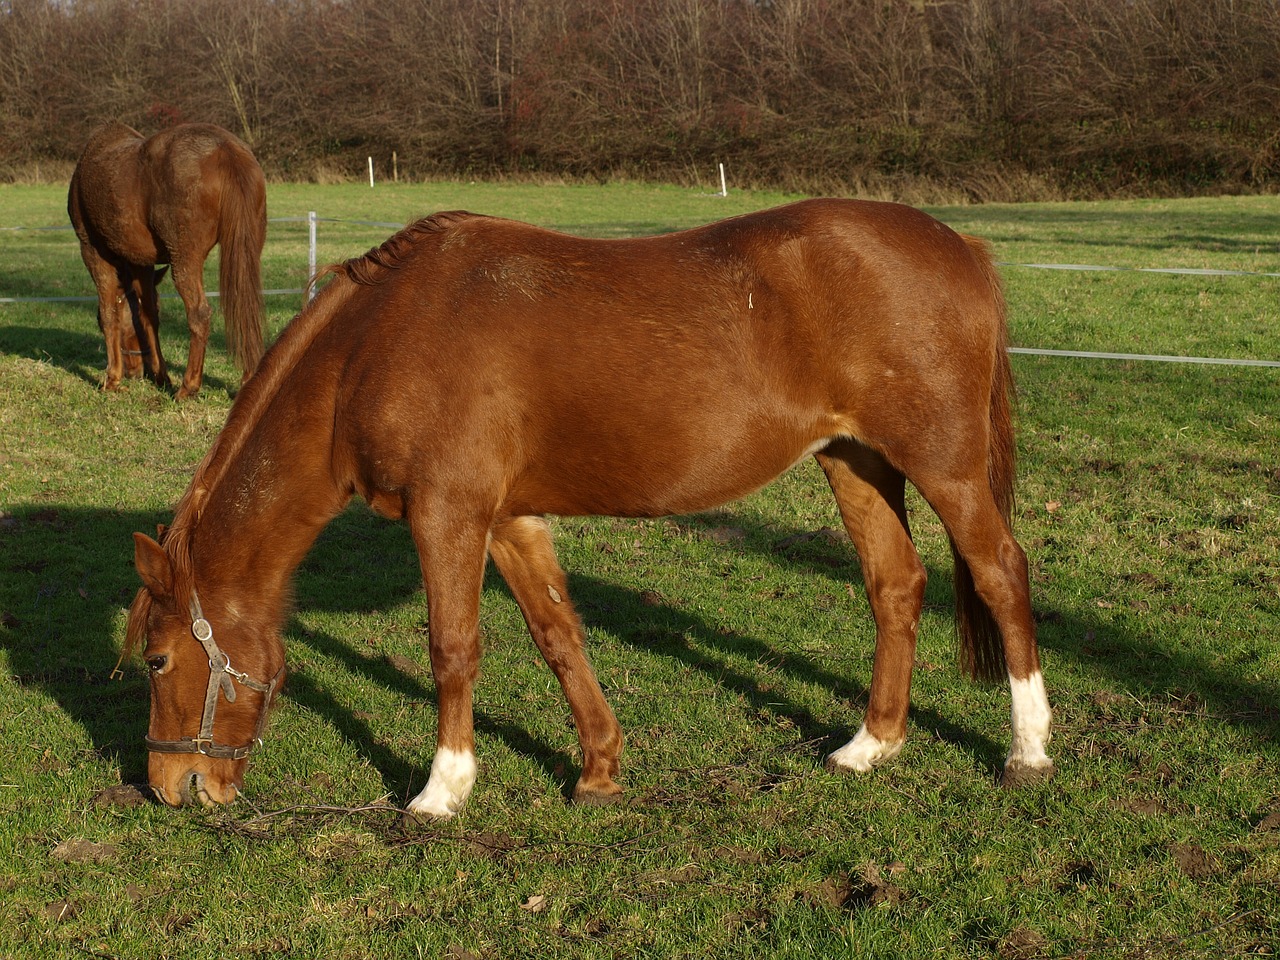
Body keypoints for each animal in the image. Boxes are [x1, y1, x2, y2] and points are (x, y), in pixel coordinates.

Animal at [68, 120, 267, 399]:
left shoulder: (92, 250)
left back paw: (188, 387)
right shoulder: (141, 261)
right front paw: (161, 376)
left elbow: (110, 313)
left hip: (184, 260)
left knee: (199, 314)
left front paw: (112, 379)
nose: (134, 372)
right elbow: (148, 314)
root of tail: (226, 150)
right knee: (245, 307)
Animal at [124, 200, 1054, 814]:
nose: (170, 786)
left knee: (1000, 573)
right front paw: (599, 768)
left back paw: (1029, 750)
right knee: (895, 586)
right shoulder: (509, 519)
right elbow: (557, 637)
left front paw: (442, 790)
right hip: (854, 460)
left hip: (944, 464)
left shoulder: (448, 513)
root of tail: (960, 246)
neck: (374, 346)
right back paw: (871, 744)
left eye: (158, 661)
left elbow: (452, 649)